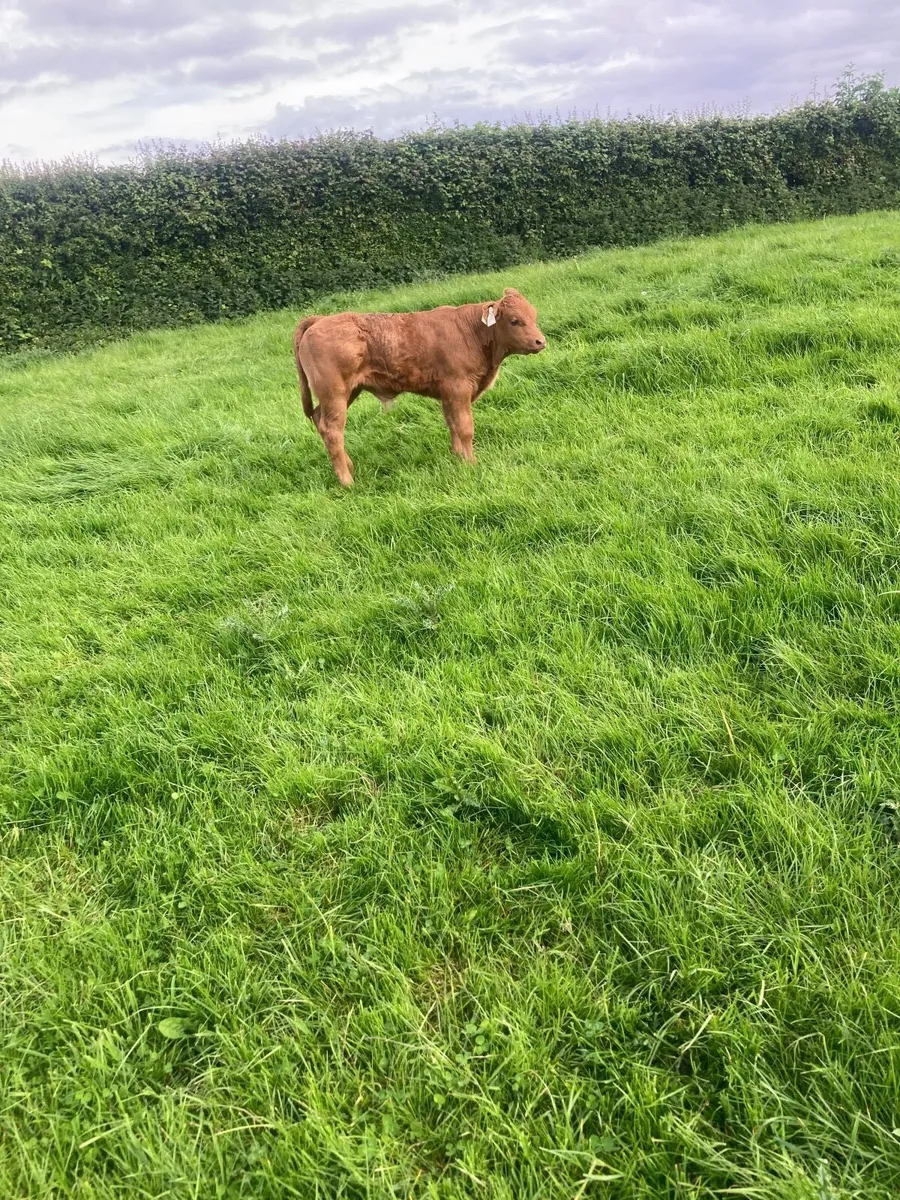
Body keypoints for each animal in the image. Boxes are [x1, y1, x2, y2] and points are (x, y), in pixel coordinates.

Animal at [292, 288, 546, 486]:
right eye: (514, 321)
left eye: (534, 315)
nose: (540, 341)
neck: (472, 332)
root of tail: (319, 320)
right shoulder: (458, 388)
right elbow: (465, 428)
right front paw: (471, 463)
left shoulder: (448, 393)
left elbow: (452, 423)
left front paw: (456, 456)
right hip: (334, 394)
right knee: (333, 431)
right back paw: (347, 481)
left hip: (344, 393)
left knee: (320, 421)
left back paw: (349, 467)